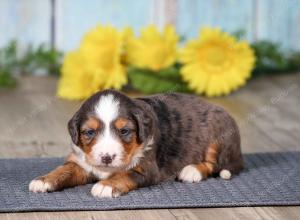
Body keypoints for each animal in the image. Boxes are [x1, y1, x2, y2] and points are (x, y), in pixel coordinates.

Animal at [29, 89, 243, 198]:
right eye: (89, 132)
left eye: (125, 131)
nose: (106, 157)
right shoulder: (80, 162)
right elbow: (63, 170)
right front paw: (43, 180)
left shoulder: (146, 168)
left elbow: (125, 174)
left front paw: (106, 186)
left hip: (219, 134)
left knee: (214, 164)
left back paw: (191, 171)